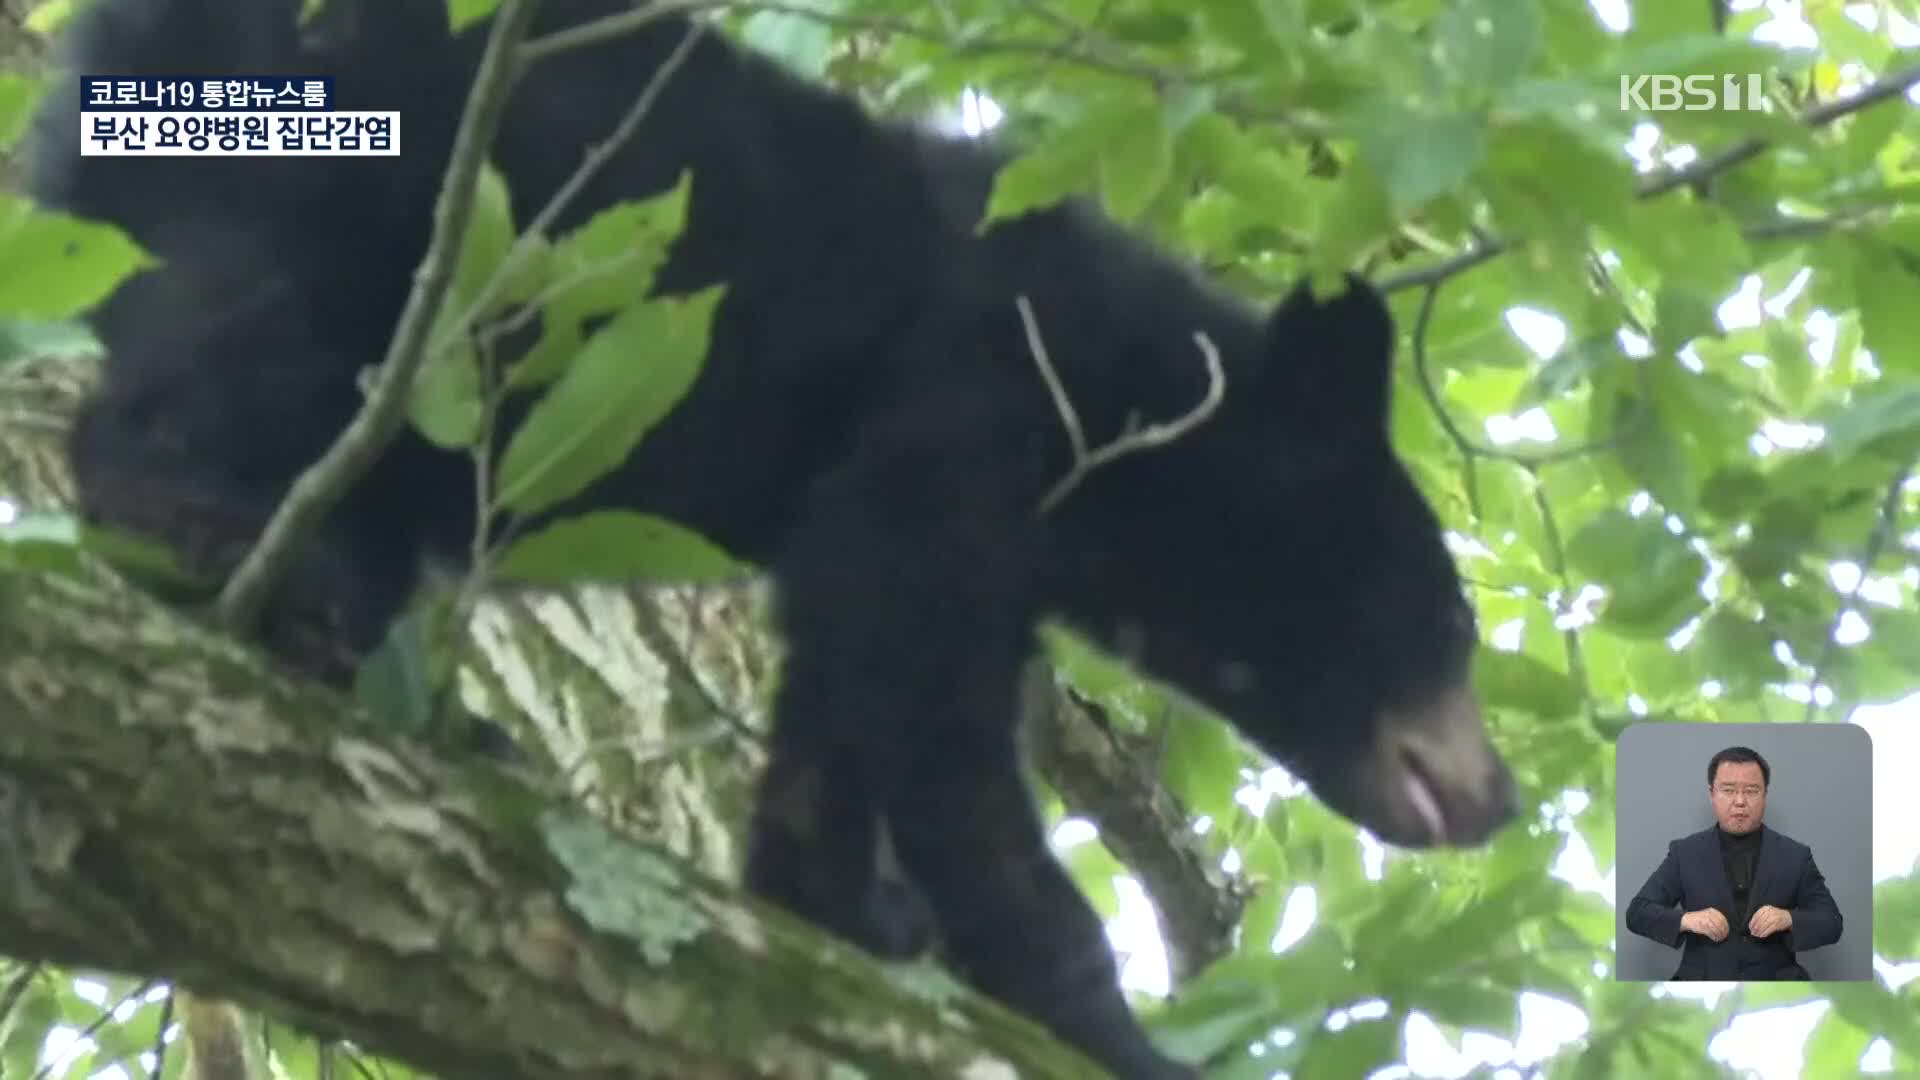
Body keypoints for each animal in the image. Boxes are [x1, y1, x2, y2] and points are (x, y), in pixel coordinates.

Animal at [26, 4, 1512, 1068]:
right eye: (1452, 622)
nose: (1497, 795)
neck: (1123, 401)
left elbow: (846, 691)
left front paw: (838, 903)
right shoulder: (963, 398)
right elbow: (924, 698)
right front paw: (1095, 1015)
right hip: (332, 191)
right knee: (231, 349)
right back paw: (215, 549)